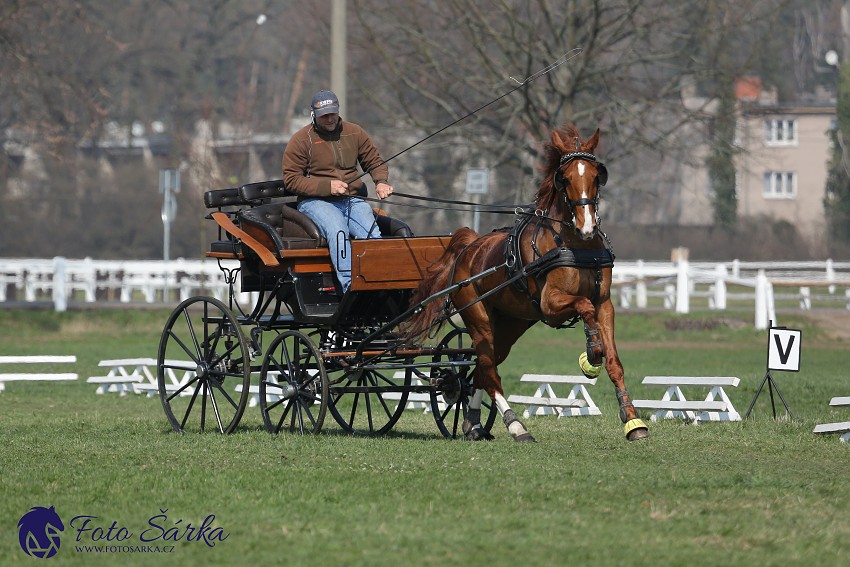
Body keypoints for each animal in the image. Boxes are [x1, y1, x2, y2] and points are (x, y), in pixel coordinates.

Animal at [408, 124, 644, 444]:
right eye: (565, 178)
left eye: (598, 176)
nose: (586, 226)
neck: (576, 245)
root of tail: (470, 247)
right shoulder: (550, 305)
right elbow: (583, 307)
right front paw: (592, 351)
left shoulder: (605, 304)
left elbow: (614, 362)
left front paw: (632, 419)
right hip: (479, 317)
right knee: (487, 366)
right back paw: (516, 425)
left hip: (511, 323)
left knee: (484, 365)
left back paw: (473, 423)